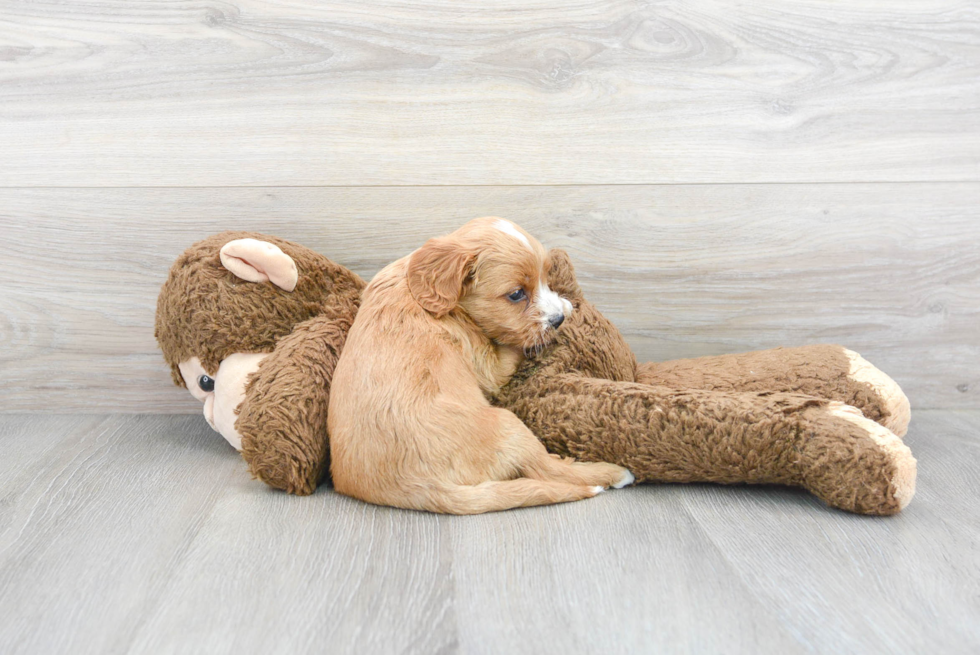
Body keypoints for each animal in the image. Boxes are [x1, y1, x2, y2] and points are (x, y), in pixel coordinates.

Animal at [328, 218, 636, 516]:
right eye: (516, 294)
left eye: (545, 277)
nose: (558, 319)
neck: (416, 288)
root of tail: (418, 488)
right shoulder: (486, 362)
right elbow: (513, 348)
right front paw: (564, 307)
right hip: (508, 425)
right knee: (549, 469)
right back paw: (614, 473)